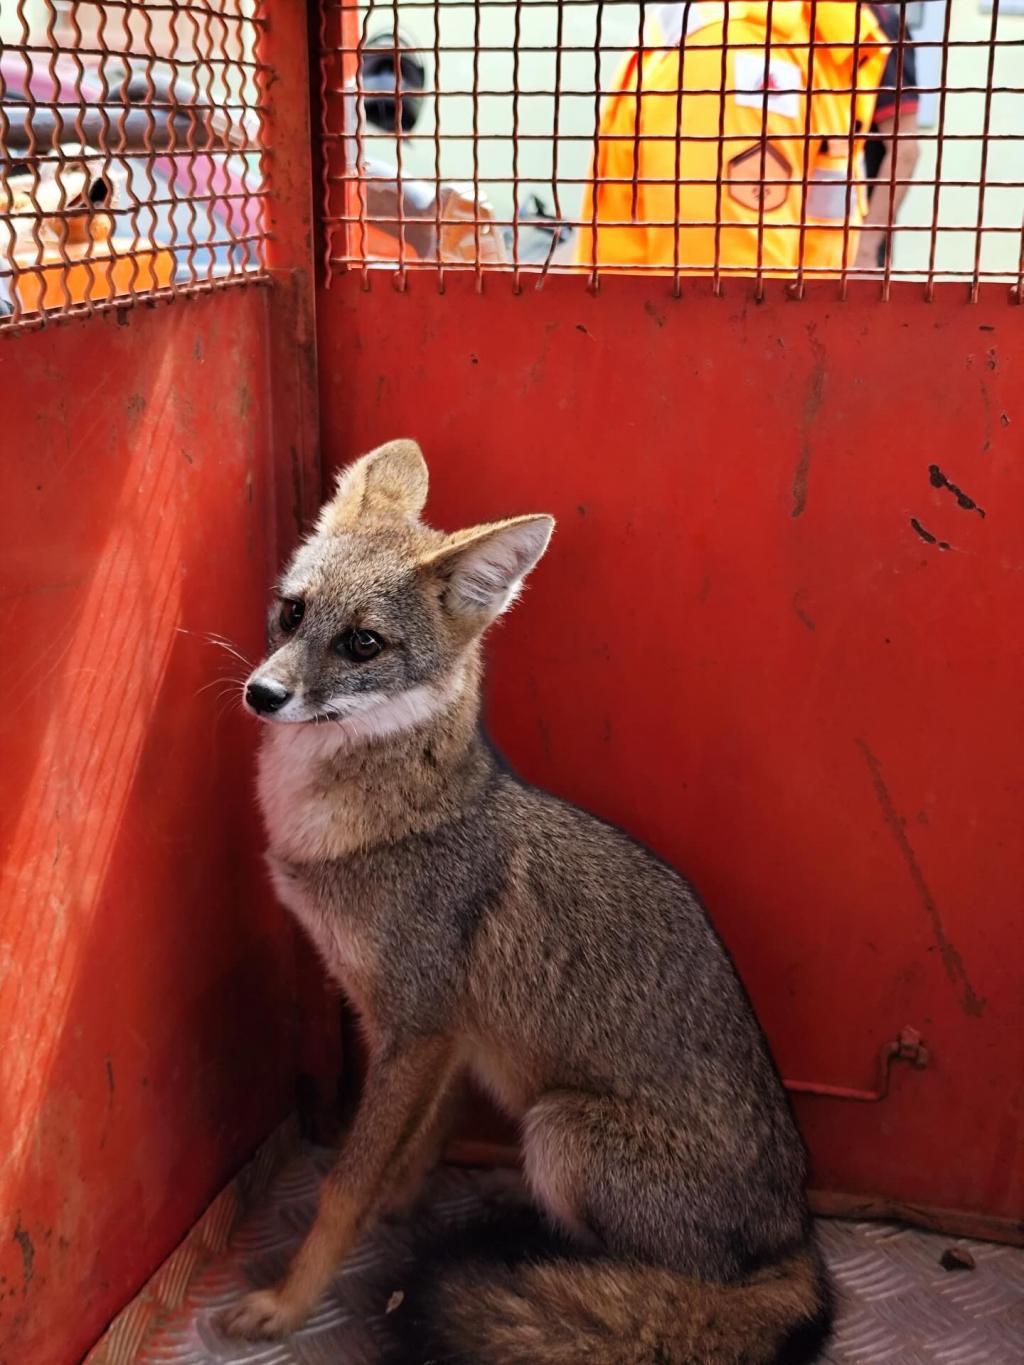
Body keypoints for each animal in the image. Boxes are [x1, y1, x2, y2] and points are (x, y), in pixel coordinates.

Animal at [219, 438, 833, 1363]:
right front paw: (396, 1205)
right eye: (292, 613)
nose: (262, 694)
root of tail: (796, 1239)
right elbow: (413, 1149)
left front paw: (289, 1303)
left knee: (665, 1286)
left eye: (363, 642)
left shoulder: (415, 1026)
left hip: (558, 1131)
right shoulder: (440, 1036)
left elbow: (342, 1187)